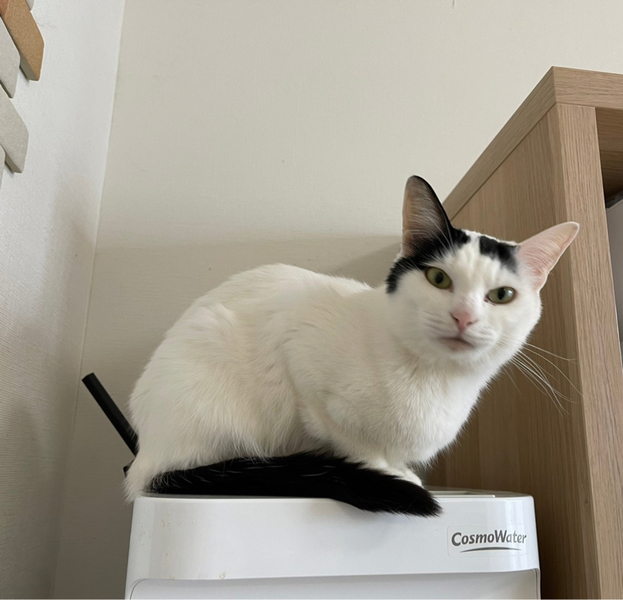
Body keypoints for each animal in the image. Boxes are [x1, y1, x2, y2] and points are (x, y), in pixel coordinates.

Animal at [124, 176, 578, 515]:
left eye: (502, 295)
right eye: (438, 279)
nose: (463, 317)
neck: (435, 377)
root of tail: (144, 459)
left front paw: (399, 468)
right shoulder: (298, 348)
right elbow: (356, 442)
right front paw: (390, 473)